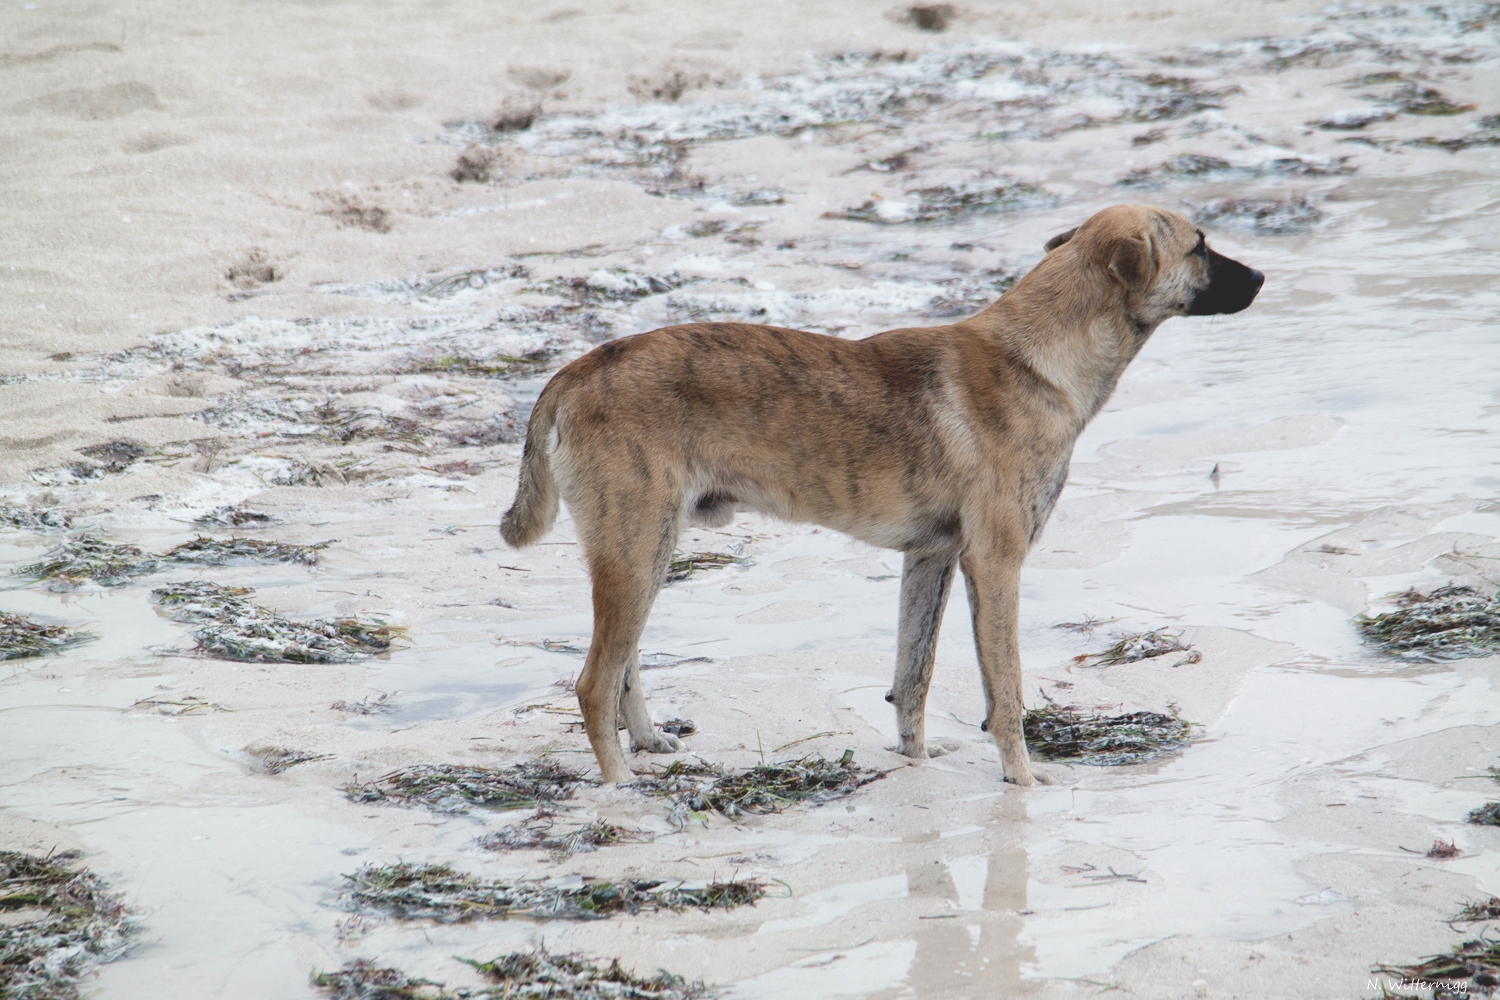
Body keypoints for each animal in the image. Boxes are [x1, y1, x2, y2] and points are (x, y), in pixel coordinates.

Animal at [498, 200, 1260, 779]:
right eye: (1200, 246)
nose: (1261, 276)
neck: (1039, 358)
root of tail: (578, 368)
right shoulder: (996, 565)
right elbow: (1006, 694)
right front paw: (1022, 783)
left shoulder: (931, 561)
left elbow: (913, 679)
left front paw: (915, 765)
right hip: (636, 553)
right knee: (594, 682)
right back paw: (623, 790)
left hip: (646, 553)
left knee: (625, 668)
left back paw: (650, 746)